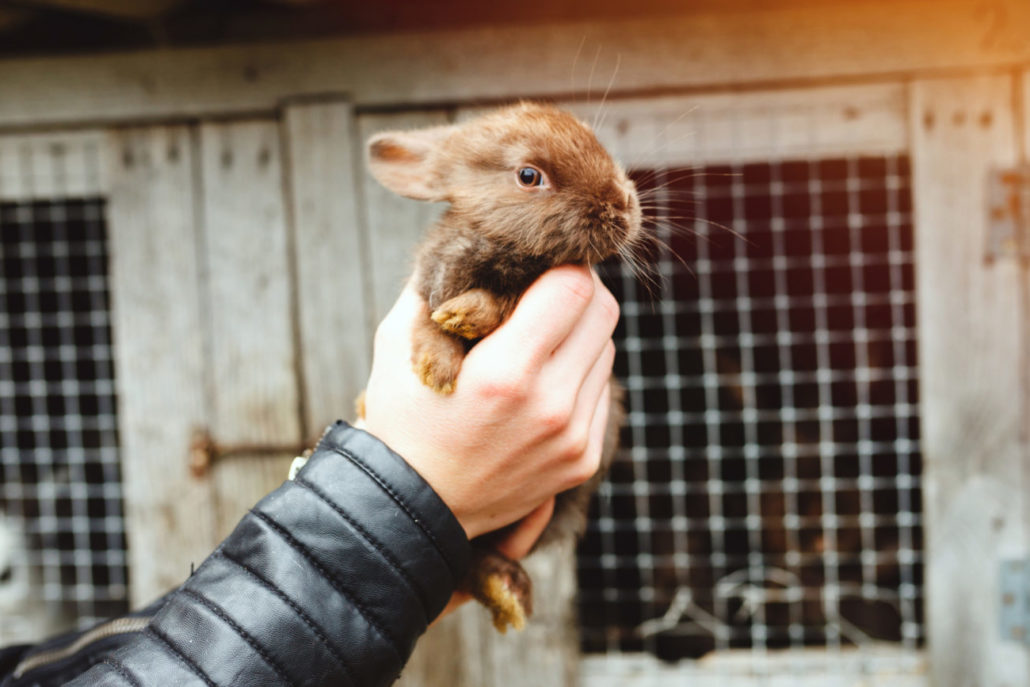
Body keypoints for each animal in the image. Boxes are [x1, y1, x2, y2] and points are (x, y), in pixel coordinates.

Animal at [360, 101, 634, 634]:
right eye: (529, 175)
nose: (625, 206)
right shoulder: (428, 286)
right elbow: (430, 328)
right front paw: (436, 369)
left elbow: (494, 306)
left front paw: (465, 317)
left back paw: (505, 591)